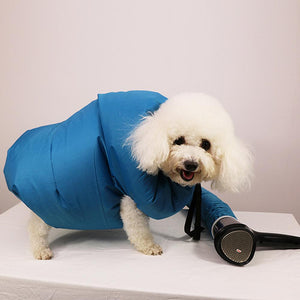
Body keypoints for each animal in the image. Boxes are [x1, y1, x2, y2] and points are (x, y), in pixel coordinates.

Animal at [27, 92, 252, 258]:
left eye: (206, 144)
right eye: (178, 140)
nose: (191, 164)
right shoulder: (131, 197)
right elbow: (138, 228)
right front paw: (148, 246)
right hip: (45, 205)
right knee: (36, 226)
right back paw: (40, 250)